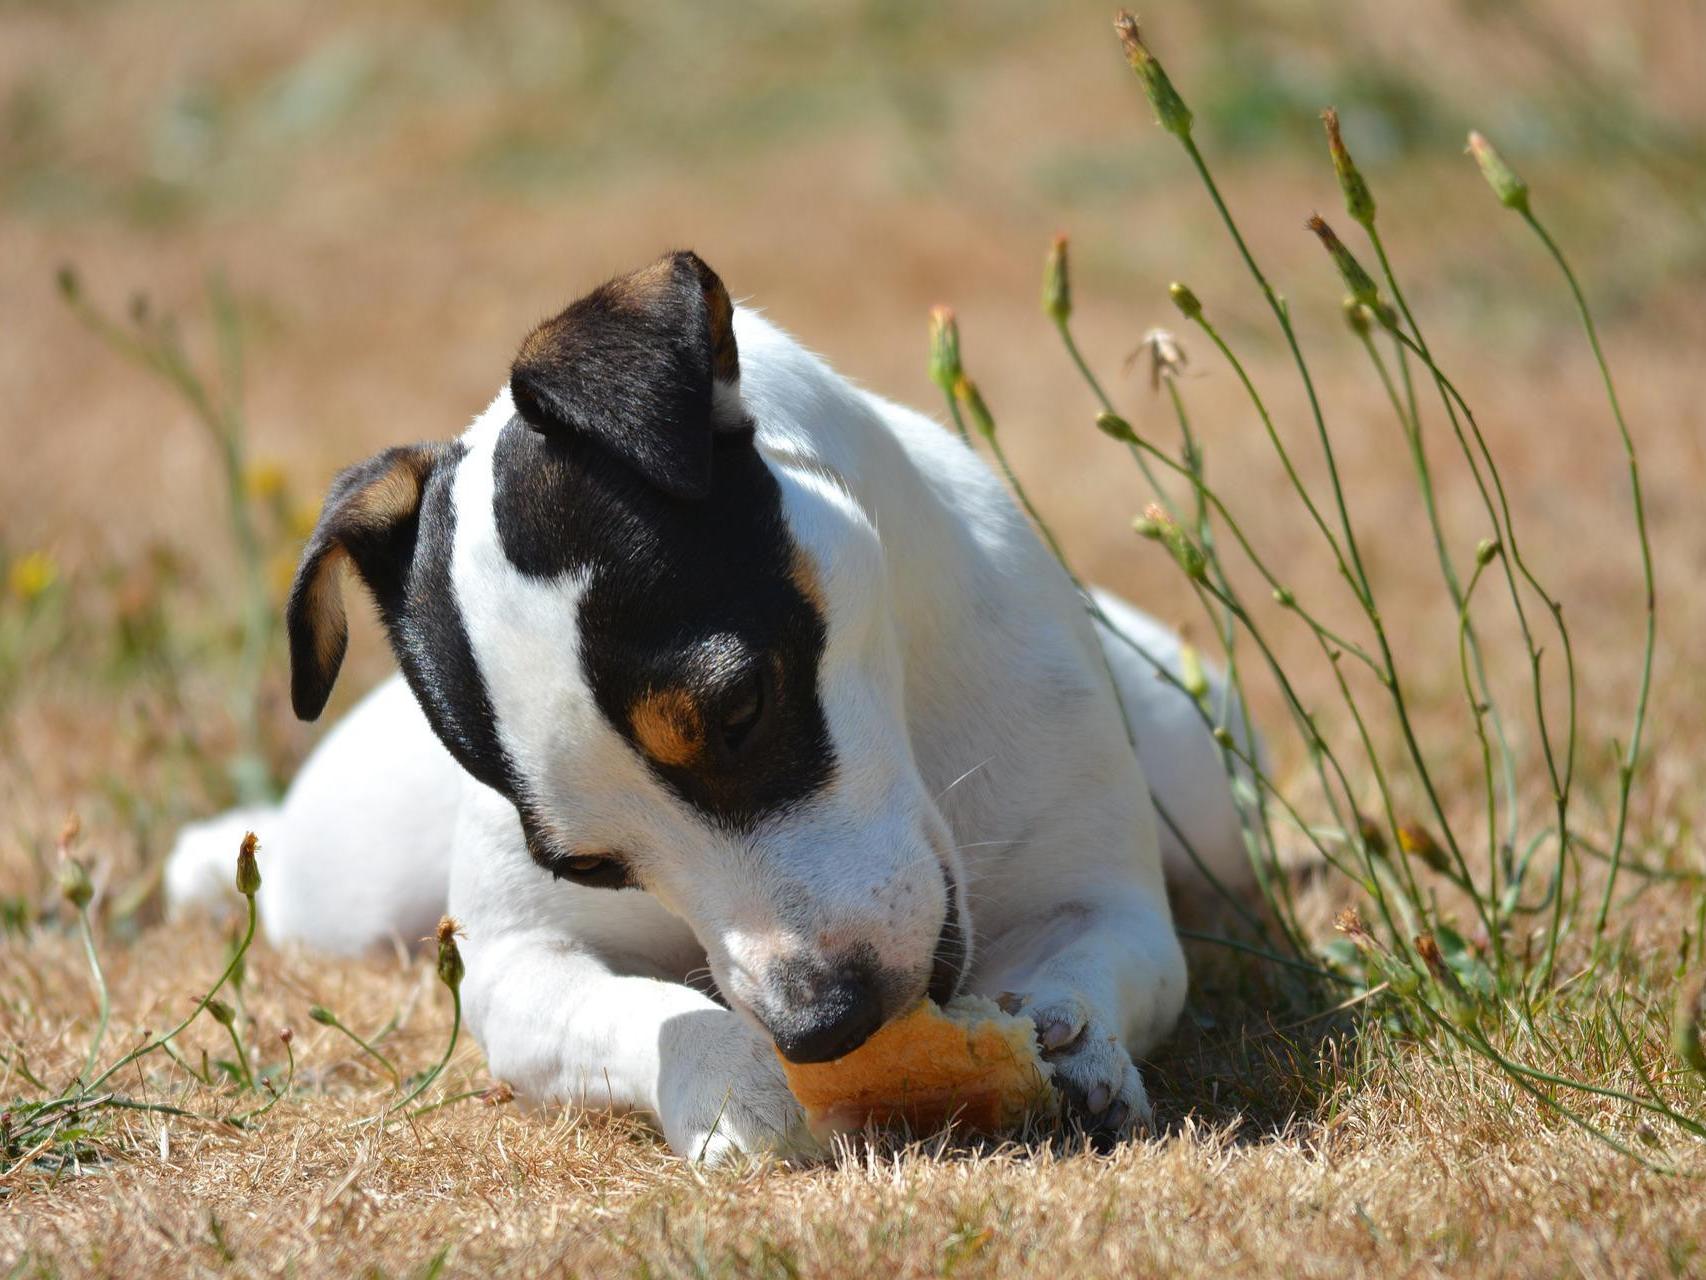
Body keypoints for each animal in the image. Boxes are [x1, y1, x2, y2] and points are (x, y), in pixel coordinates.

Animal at [162, 250, 1255, 1160]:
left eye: (740, 709)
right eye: (588, 867)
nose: (822, 1025)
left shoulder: (1108, 903)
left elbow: (1097, 957)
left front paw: (1073, 1037)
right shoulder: (515, 965)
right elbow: (643, 1014)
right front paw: (731, 1081)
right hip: (346, 885)